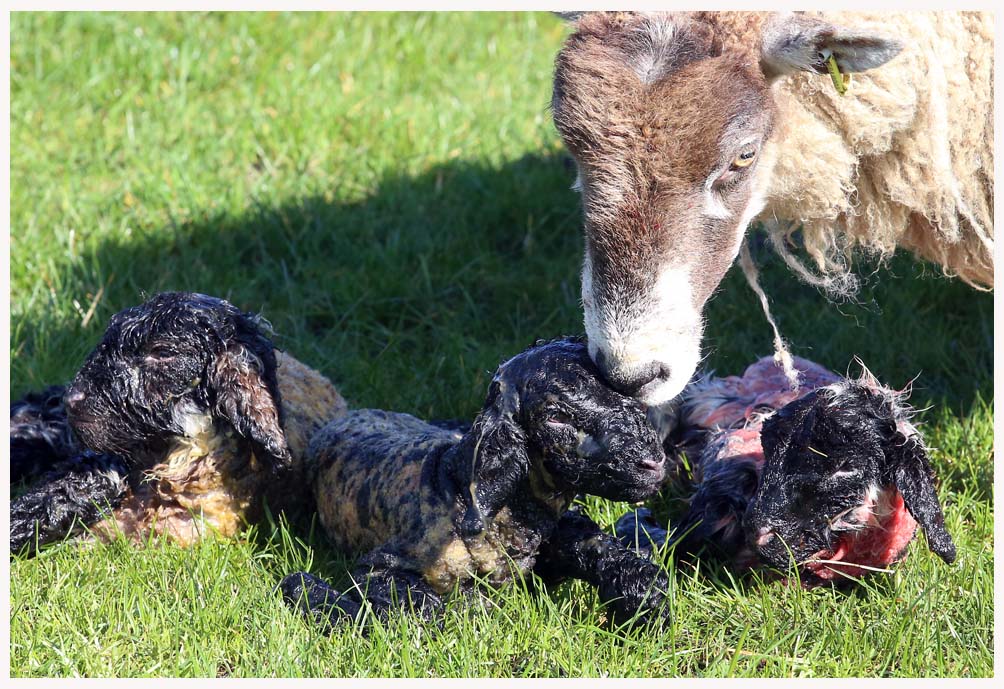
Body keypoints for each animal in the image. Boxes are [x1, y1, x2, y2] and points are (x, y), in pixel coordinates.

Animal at [281, 337, 674, 634]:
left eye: (623, 394)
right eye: (555, 416)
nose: (652, 461)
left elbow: (609, 553)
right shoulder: (380, 566)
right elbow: (421, 613)